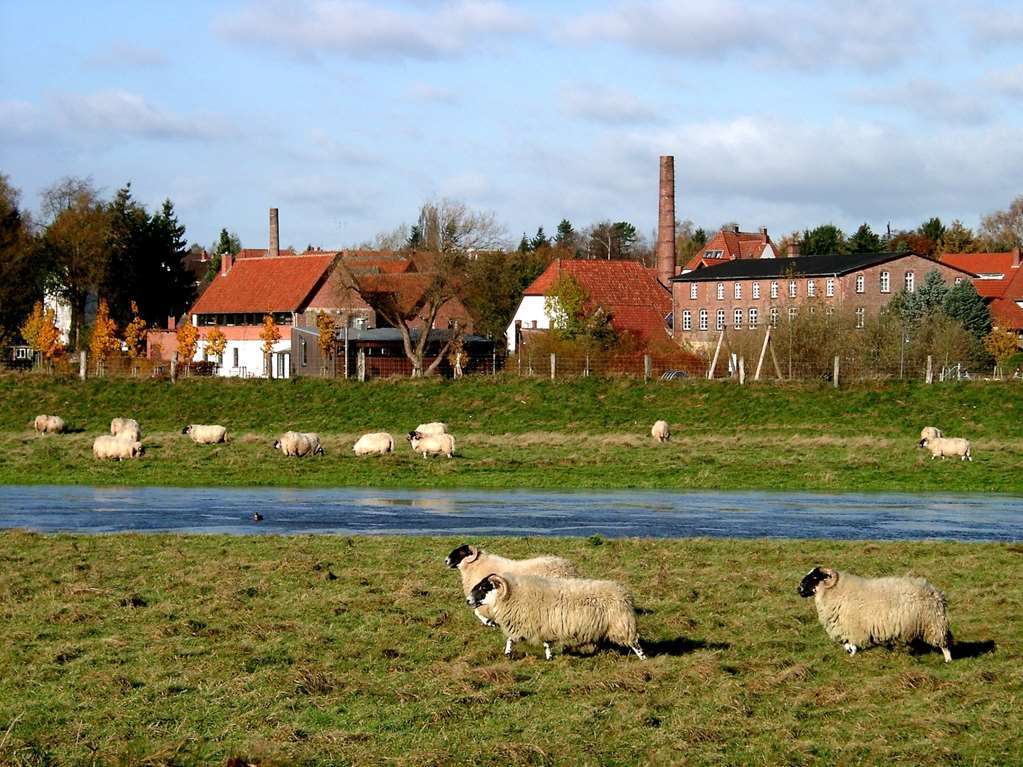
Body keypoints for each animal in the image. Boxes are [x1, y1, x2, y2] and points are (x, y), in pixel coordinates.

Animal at [446, 544, 581, 625]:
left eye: (461, 552)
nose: (446, 560)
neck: (476, 565)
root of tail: (570, 568)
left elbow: (477, 612)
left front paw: (489, 622)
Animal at [466, 576, 642, 662]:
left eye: (483, 587)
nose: (468, 600)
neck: (513, 596)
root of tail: (625, 595)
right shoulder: (536, 625)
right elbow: (512, 639)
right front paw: (508, 654)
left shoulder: (539, 624)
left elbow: (543, 642)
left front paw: (549, 657)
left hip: (622, 624)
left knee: (635, 643)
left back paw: (643, 659)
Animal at [797, 568, 949, 662]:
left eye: (815, 577)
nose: (799, 589)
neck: (837, 592)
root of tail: (936, 593)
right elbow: (846, 642)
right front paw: (849, 651)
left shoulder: (854, 626)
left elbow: (852, 642)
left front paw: (852, 653)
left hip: (933, 623)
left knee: (943, 643)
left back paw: (948, 659)